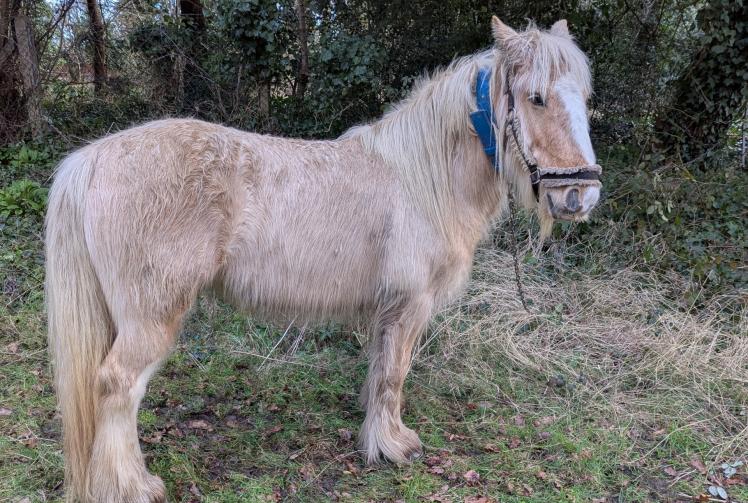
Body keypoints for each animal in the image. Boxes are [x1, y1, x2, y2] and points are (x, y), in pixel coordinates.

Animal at [45, 16, 601, 502]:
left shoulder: (387, 309)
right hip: (151, 318)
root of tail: (91, 159)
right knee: (118, 387)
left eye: (584, 98)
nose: (581, 195)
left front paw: (375, 435)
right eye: (536, 97)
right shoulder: (410, 304)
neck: (421, 175)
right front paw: (394, 447)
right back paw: (133, 486)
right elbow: (395, 374)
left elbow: (380, 372)